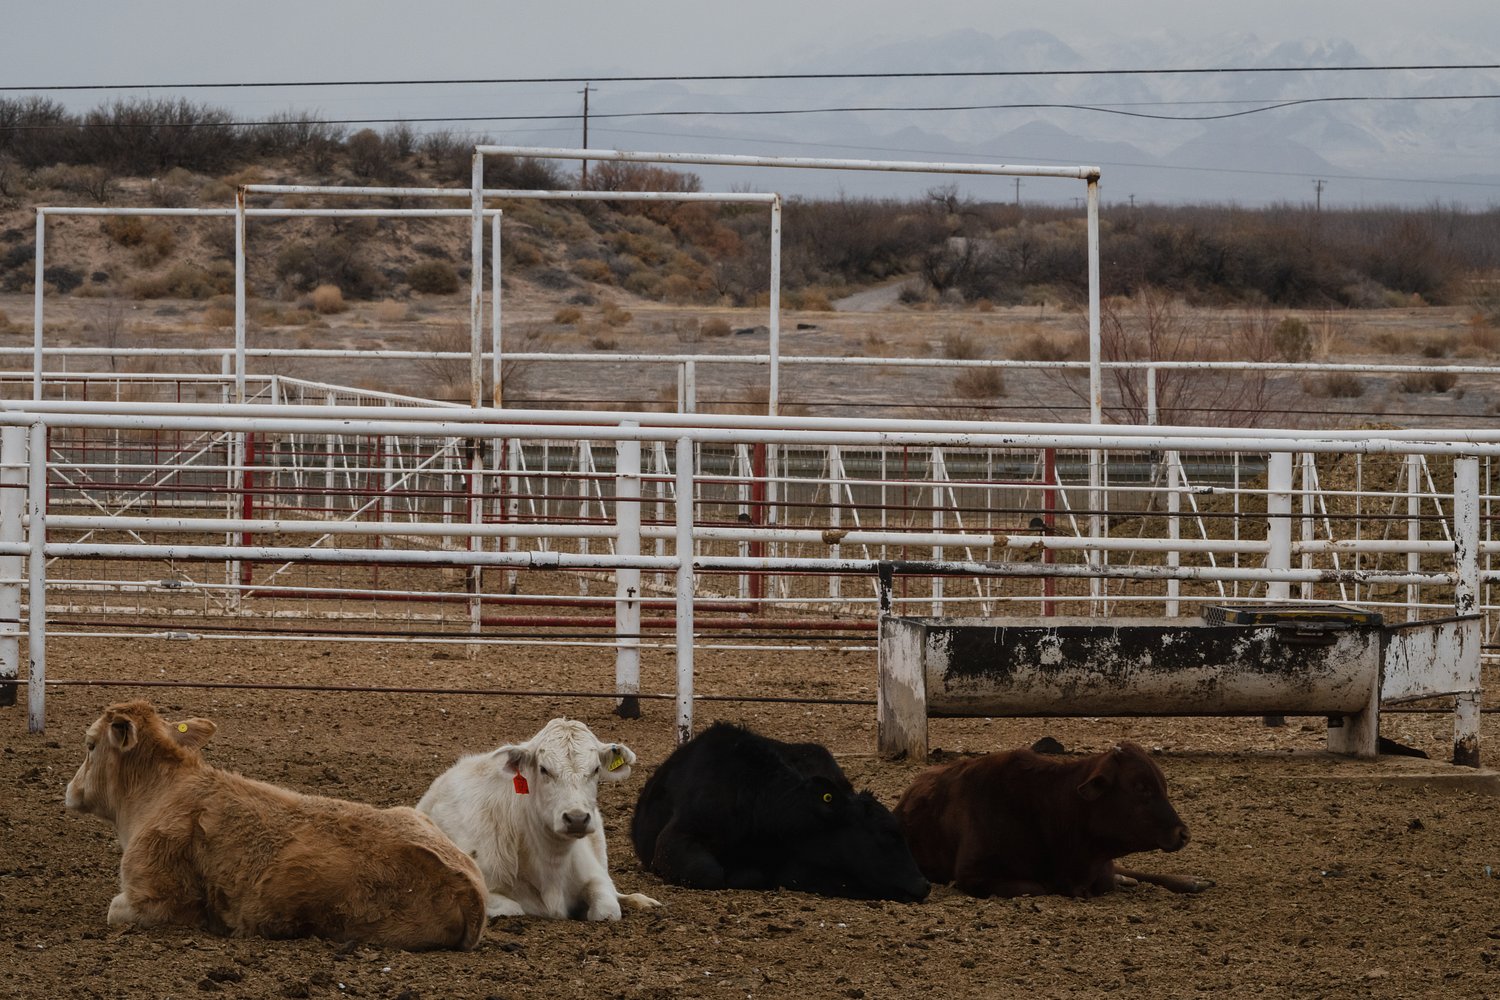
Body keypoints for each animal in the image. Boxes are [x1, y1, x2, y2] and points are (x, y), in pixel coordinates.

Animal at [64, 701, 487, 950]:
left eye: (90, 744)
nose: (70, 790)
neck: (160, 794)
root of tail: (470, 886)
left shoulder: (154, 901)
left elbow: (114, 910)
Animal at [416, 717, 659, 921]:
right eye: (544, 769)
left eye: (596, 769)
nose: (577, 818)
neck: (551, 865)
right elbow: (513, 908)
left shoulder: (596, 876)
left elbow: (608, 910)